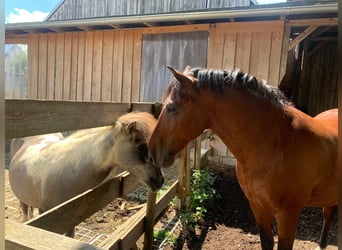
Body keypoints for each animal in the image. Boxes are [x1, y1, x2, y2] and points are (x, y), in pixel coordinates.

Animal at [148, 66, 338, 250]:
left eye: (172, 109)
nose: (152, 153)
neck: (278, 143)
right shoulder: (258, 206)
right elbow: (266, 242)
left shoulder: (288, 215)